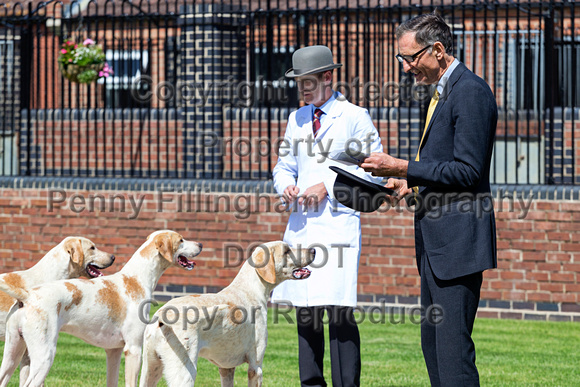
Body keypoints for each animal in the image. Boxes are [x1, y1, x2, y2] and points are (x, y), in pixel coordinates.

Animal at [0, 230, 202, 387]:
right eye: (181, 239)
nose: (200, 244)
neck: (136, 279)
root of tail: (28, 296)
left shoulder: (113, 352)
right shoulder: (134, 350)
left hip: (13, 354)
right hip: (44, 356)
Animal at [139, 242, 314, 387]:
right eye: (287, 250)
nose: (314, 250)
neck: (251, 289)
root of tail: (161, 315)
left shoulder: (226, 368)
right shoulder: (256, 367)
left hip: (149, 370)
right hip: (185, 373)